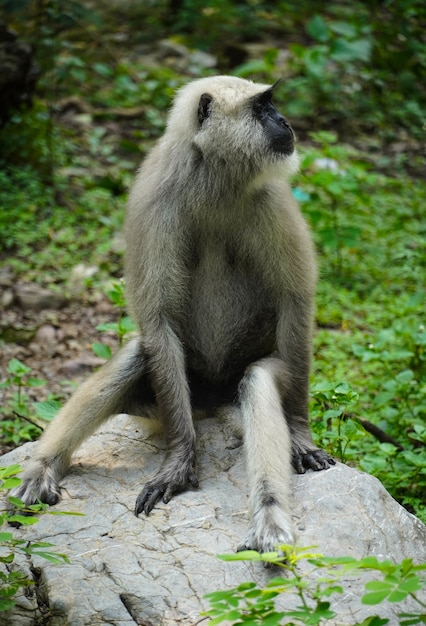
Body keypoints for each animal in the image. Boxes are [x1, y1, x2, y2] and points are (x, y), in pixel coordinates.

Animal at [11, 74, 334, 552]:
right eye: (263, 108)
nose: (285, 122)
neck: (215, 179)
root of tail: (211, 401)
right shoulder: (155, 198)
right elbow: (158, 319)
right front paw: (180, 462)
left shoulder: (271, 197)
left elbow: (295, 301)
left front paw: (298, 432)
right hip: (167, 400)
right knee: (139, 353)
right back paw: (41, 470)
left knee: (256, 379)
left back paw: (269, 518)